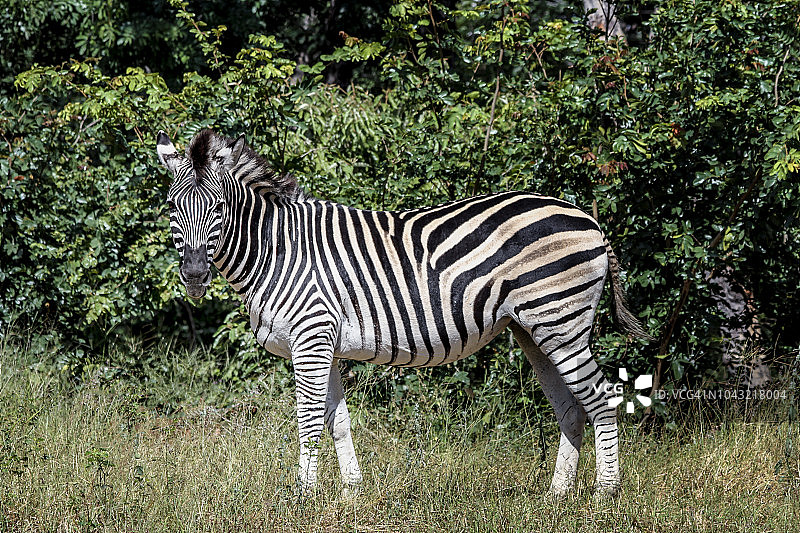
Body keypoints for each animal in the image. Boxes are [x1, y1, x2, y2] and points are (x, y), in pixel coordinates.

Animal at [155, 127, 648, 496]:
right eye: (173, 208)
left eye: (219, 207)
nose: (195, 275)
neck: (277, 249)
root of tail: (590, 220)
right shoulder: (327, 345)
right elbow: (337, 422)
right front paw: (351, 493)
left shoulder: (310, 337)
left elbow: (309, 420)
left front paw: (303, 497)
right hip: (534, 329)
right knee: (571, 407)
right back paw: (556, 496)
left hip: (560, 320)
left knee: (601, 398)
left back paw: (605, 494)